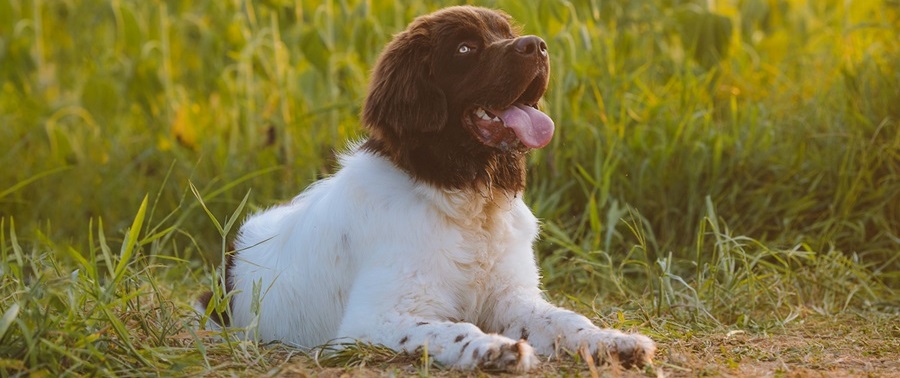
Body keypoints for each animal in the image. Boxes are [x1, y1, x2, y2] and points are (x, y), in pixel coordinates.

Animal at [199, 5, 652, 372]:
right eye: (466, 49)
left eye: (505, 32)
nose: (538, 46)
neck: (468, 199)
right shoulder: (372, 320)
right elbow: (453, 330)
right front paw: (496, 350)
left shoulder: (513, 297)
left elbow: (565, 319)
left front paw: (613, 341)